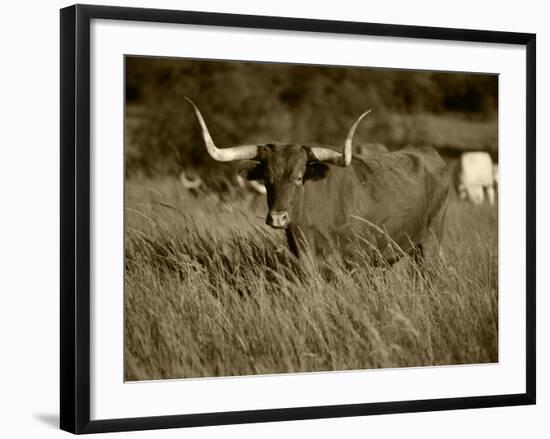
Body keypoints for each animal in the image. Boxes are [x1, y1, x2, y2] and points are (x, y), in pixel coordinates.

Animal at [188, 99, 450, 264]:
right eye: (266, 178)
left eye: (299, 177)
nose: (278, 218)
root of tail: (426, 151)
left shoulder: (355, 260)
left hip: (431, 241)